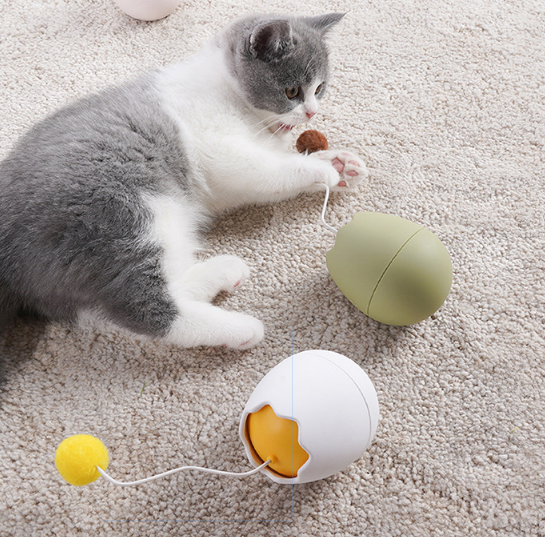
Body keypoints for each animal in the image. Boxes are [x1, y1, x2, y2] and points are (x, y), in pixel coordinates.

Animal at [0, 13, 368, 348]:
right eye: (292, 91)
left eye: (319, 88)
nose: (311, 112)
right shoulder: (220, 151)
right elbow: (269, 171)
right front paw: (322, 170)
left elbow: (274, 172)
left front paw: (338, 163)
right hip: (121, 214)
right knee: (141, 306)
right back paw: (240, 328)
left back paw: (222, 272)